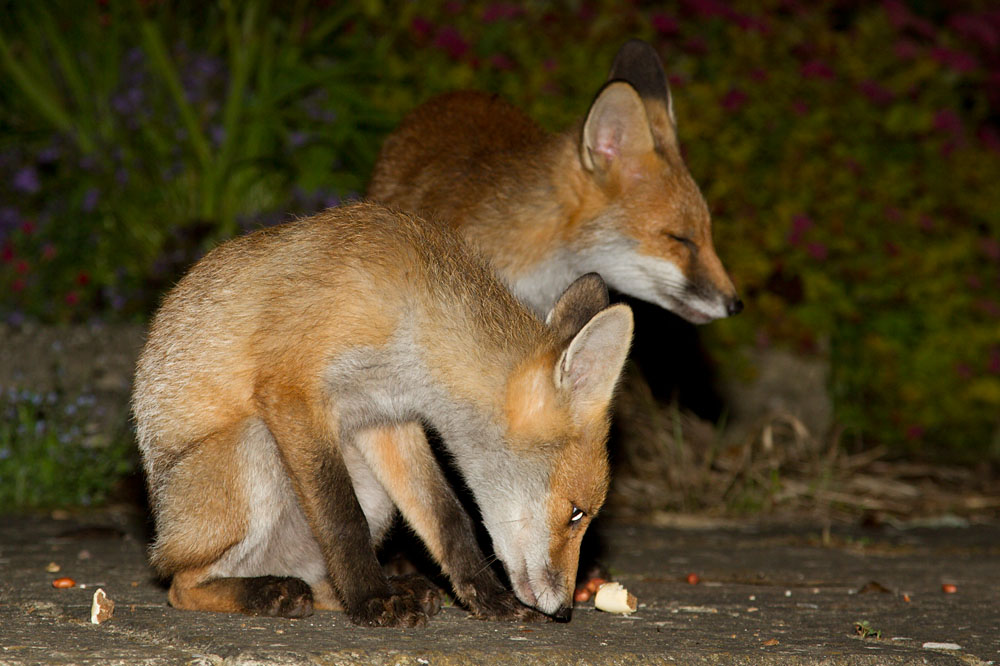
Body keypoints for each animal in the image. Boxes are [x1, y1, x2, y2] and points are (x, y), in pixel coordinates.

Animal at [131, 202, 633, 626]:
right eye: (576, 513)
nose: (565, 611)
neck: (413, 316)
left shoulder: (386, 420)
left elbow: (446, 515)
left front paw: (485, 597)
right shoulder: (291, 390)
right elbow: (342, 518)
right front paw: (371, 600)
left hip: (372, 489)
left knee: (319, 582)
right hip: (252, 449)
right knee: (181, 585)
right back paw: (270, 592)